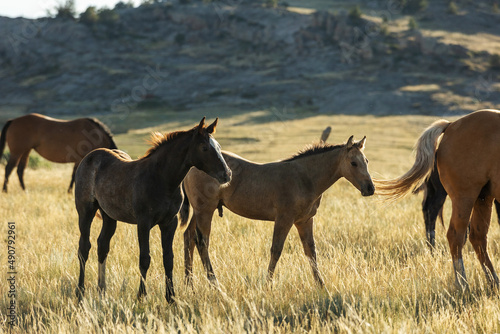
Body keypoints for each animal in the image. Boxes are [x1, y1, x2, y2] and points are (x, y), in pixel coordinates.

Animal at [74, 117, 232, 302]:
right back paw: (80, 292)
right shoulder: (143, 223)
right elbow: (145, 258)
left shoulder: (169, 223)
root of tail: (90, 156)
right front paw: (141, 296)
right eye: (204, 148)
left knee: (102, 245)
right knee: (84, 247)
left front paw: (171, 298)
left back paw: (102, 291)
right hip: (86, 211)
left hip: (109, 216)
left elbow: (168, 258)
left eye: (219, 147)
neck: (162, 179)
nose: (227, 174)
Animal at [181, 136, 376, 288]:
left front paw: (321, 285)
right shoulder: (284, 219)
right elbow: (276, 250)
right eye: (353, 163)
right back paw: (213, 283)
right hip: (205, 210)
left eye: (366, 161)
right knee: (202, 242)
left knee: (188, 237)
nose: (370, 188)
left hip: (199, 211)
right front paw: (268, 284)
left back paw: (189, 283)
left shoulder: (304, 221)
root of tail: (190, 167)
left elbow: (311, 251)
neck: (304, 178)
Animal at [376, 110, 500, 290]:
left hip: (482, 198)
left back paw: (493, 282)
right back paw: (463, 283)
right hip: (465, 197)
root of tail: (451, 125)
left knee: (477, 237)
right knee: (455, 235)